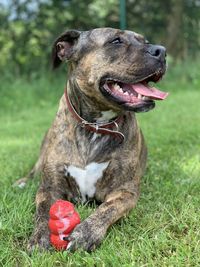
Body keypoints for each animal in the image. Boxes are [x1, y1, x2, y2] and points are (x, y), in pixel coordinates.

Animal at [15, 28, 168, 252]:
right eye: (116, 41)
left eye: (144, 40)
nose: (162, 51)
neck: (95, 126)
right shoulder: (49, 188)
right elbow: (43, 210)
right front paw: (39, 237)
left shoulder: (125, 191)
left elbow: (107, 208)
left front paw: (85, 233)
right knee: (33, 172)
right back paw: (21, 182)